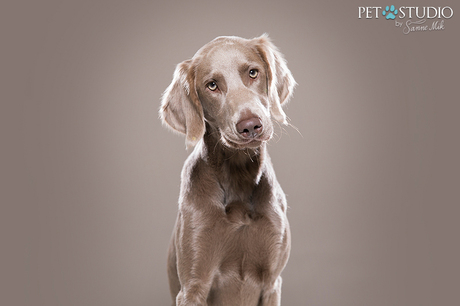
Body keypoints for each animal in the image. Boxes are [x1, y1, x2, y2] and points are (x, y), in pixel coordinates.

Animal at [160, 34, 296, 306]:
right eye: (212, 85)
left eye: (253, 72)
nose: (250, 125)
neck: (238, 175)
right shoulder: (192, 286)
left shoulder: (272, 282)